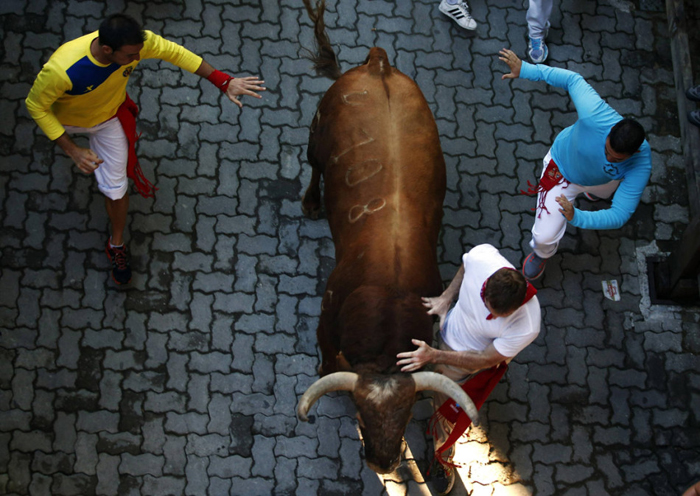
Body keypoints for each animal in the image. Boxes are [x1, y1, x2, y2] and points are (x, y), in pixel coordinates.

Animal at [298, 0, 478, 472]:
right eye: (361, 413)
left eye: (409, 415)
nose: (382, 462)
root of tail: (377, 63)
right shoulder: (325, 331)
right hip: (315, 134)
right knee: (313, 166)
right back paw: (309, 201)